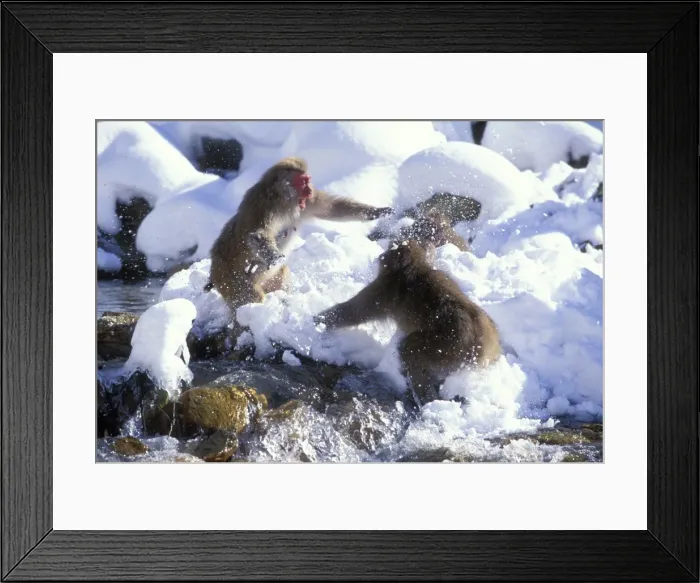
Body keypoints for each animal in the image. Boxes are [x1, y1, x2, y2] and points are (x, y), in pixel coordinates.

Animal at [205, 156, 394, 330]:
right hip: (230, 281)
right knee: (252, 297)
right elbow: (257, 235)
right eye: (303, 181)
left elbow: (332, 209)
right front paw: (275, 256)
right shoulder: (263, 207)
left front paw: (378, 212)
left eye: (307, 181)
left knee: (282, 275)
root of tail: (214, 271)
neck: (282, 198)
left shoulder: (306, 204)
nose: (309, 190)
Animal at [313, 240, 502, 407]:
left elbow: (354, 311)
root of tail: (485, 344)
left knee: (411, 349)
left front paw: (318, 321)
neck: (415, 266)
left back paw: (424, 398)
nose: (380, 257)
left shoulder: (384, 289)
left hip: (447, 346)